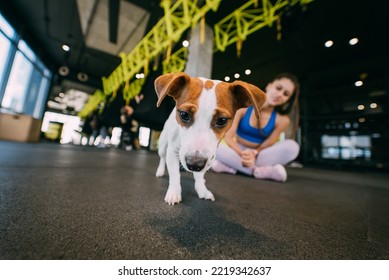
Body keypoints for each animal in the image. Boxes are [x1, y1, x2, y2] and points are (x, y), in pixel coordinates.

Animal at [153, 71, 266, 205]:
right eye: (184, 115)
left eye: (222, 120)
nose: (194, 164)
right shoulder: (173, 151)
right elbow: (175, 175)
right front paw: (174, 192)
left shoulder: (208, 156)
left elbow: (199, 175)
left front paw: (202, 188)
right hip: (163, 145)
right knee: (162, 157)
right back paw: (160, 171)